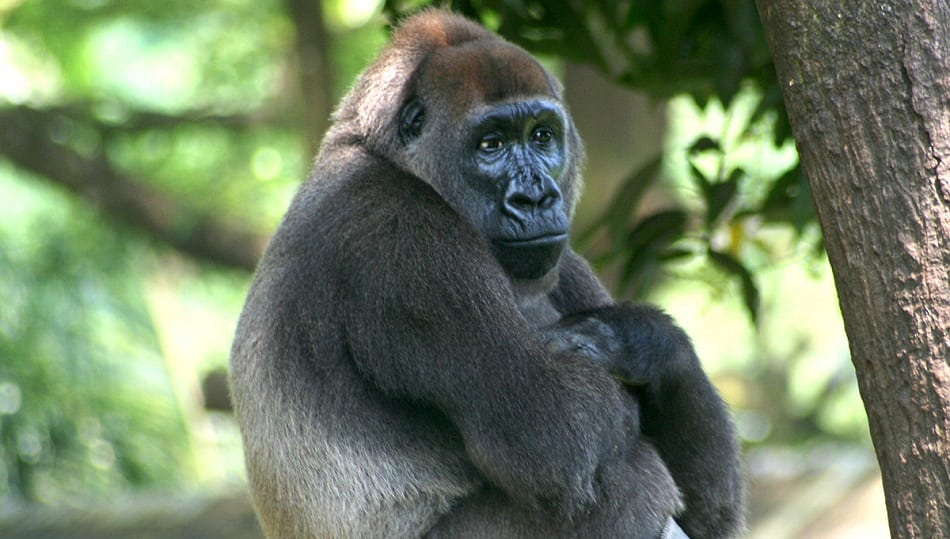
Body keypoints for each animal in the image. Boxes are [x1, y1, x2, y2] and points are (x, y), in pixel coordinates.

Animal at [229, 9, 743, 539]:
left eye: (542, 136)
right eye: (491, 145)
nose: (535, 198)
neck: (389, 157)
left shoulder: (565, 261)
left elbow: (712, 511)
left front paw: (632, 340)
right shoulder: (404, 238)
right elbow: (556, 435)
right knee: (628, 478)